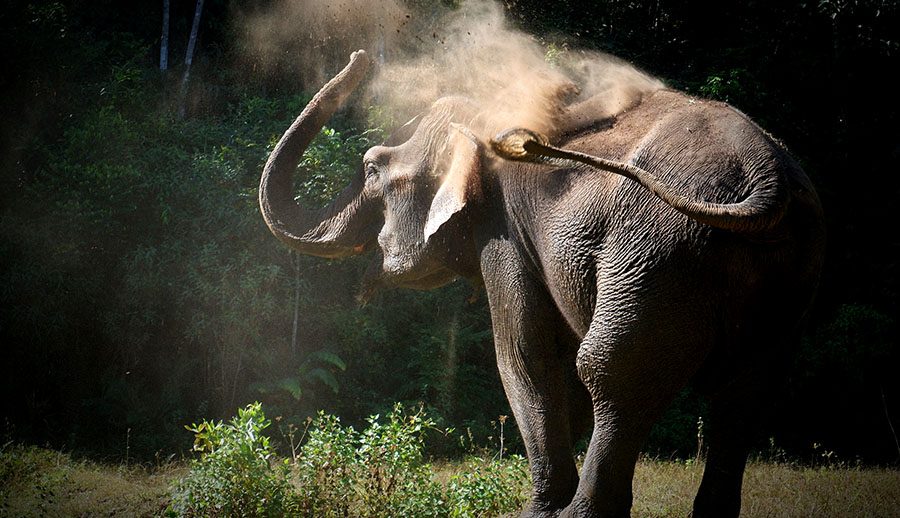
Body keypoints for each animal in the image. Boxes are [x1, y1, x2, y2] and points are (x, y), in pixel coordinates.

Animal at [258, 49, 824, 518]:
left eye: (372, 169)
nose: (360, 55)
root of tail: (767, 178)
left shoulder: (504, 232)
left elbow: (525, 355)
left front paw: (536, 514)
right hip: (788, 275)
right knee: (747, 391)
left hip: (660, 255)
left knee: (611, 368)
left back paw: (582, 514)